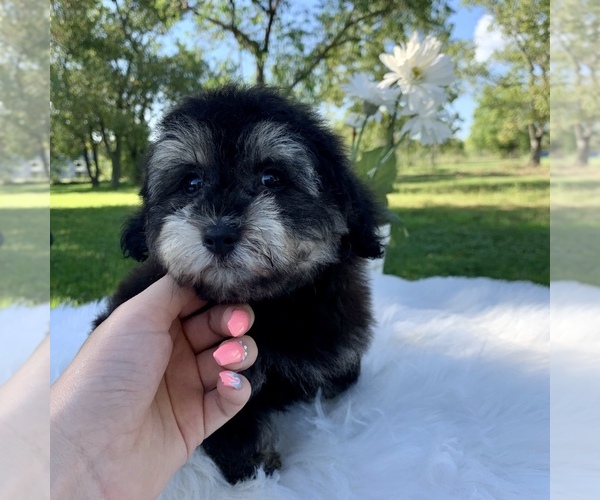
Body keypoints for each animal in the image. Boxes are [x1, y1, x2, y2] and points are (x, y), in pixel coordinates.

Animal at [95, 84, 384, 482]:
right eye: (191, 182)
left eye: (272, 178)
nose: (219, 234)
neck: (274, 306)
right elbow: (234, 427)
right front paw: (255, 466)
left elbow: (342, 376)